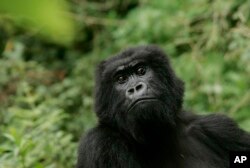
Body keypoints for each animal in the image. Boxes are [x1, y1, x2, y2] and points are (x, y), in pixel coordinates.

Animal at [76, 45, 250, 167]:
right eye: (121, 79)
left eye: (141, 70)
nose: (135, 88)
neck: (155, 138)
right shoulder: (98, 143)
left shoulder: (221, 128)